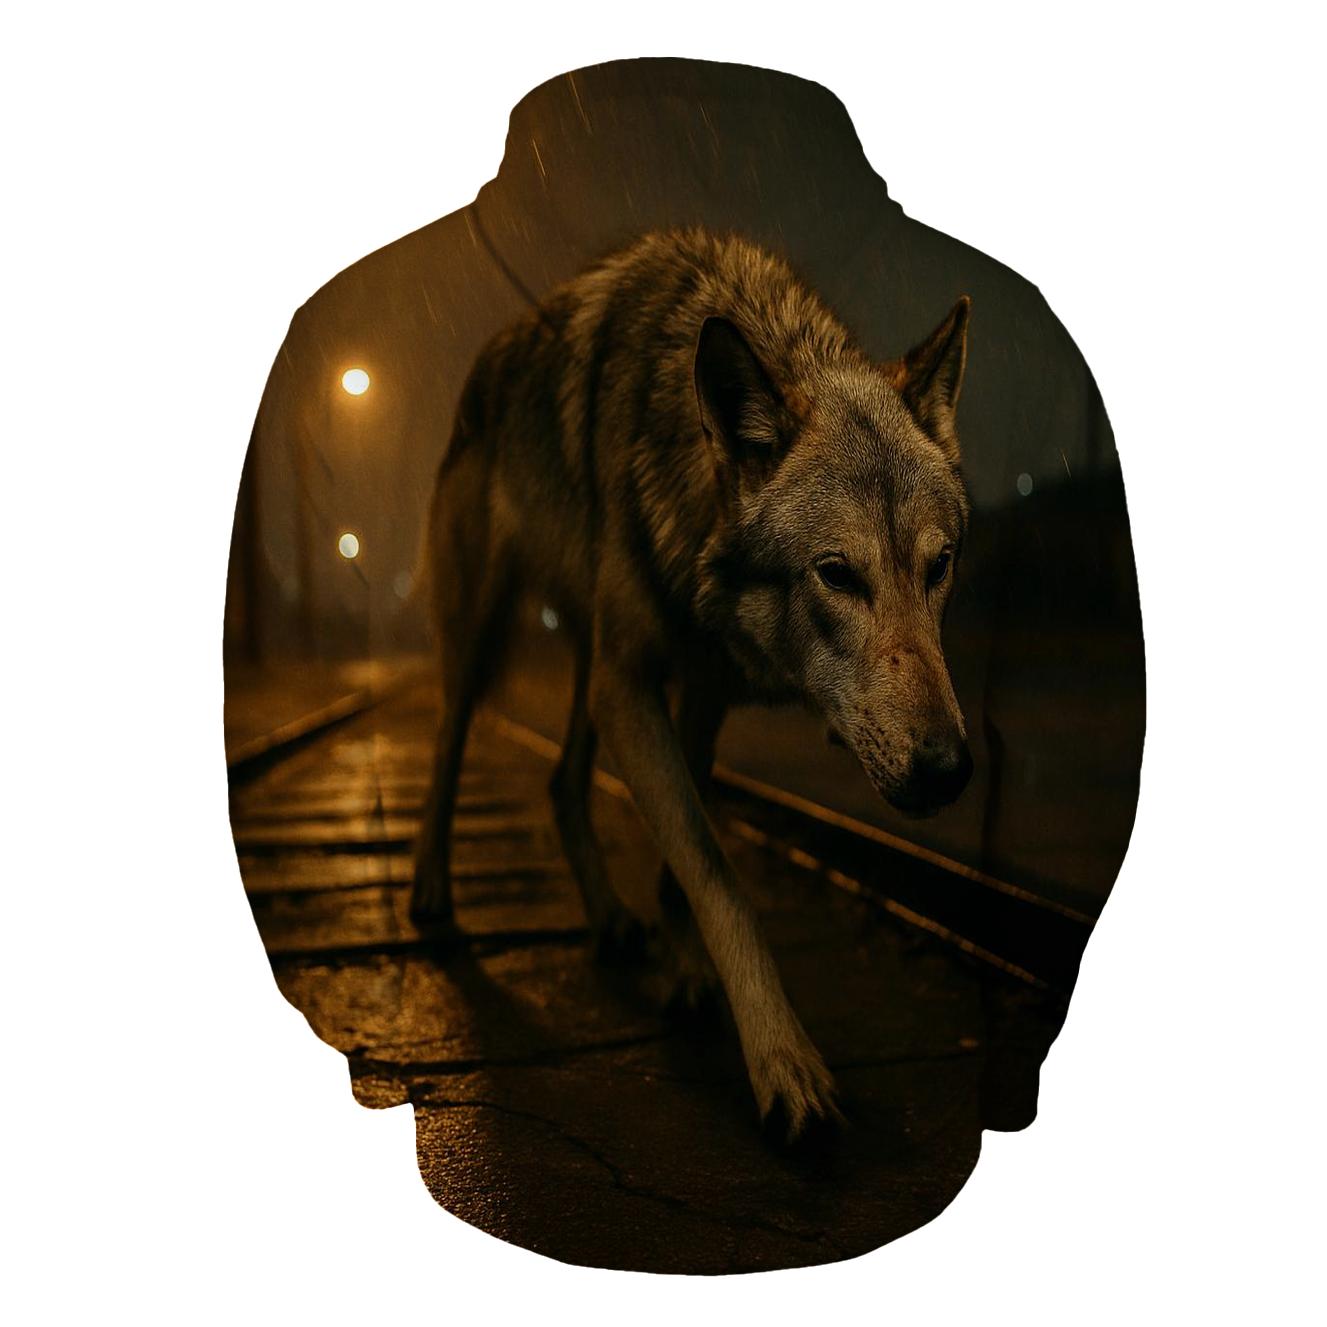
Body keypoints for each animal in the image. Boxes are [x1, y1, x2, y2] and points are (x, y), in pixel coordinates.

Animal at [411, 228, 973, 1139]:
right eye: (836, 574)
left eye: (939, 566)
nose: (949, 768)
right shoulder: (631, 686)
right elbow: (718, 872)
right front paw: (784, 1061)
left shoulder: (698, 685)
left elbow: (687, 859)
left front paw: (686, 969)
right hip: (483, 634)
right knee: (446, 743)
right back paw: (429, 888)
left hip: (588, 664)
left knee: (561, 781)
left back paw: (610, 920)